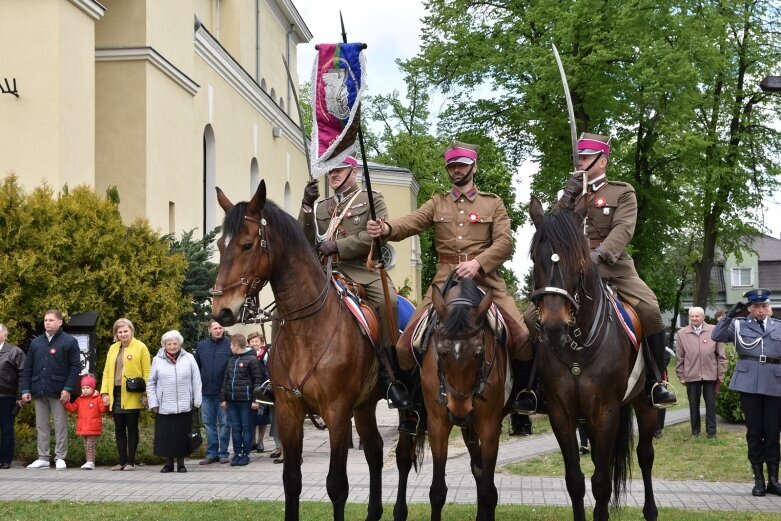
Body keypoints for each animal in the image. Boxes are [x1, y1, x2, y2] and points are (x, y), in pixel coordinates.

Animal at [209, 180, 388, 520]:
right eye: (220, 247)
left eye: (247, 245)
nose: (222, 311)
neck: (308, 329)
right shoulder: (289, 410)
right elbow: (291, 480)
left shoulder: (337, 412)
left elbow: (337, 485)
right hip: (364, 406)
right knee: (375, 450)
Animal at [396, 278, 512, 520]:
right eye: (441, 352)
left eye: (479, 353)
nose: (458, 411)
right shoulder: (438, 424)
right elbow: (437, 491)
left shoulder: (489, 426)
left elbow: (489, 491)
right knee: (403, 459)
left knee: (478, 470)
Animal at [524, 196, 660, 520]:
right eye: (535, 258)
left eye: (580, 261)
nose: (554, 327)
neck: (577, 346)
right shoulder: (562, 413)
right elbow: (575, 480)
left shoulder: (606, 413)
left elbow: (601, 482)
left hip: (645, 403)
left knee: (645, 455)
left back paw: (650, 510)